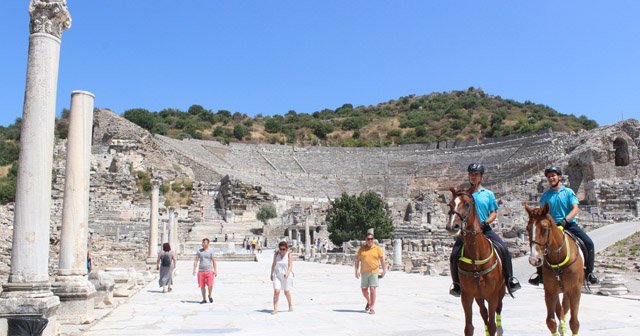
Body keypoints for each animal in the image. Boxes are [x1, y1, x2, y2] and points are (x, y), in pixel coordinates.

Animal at [444, 188, 504, 334]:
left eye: (467, 204)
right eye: (450, 204)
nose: (452, 226)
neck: (476, 257)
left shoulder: (493, 295)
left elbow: (492, 325)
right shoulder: (467, 295)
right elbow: (469, 327)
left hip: (500, 292)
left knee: (498, 310)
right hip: (479, 297)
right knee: (484, 312)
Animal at [524, 203, 584, 334]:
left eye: (544, 229)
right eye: (527, 229)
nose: (534, 260)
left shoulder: (575, 291)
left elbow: (574, 323)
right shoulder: (550, 292)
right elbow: (551, 321)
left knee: (565, 308)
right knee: (560, 310)